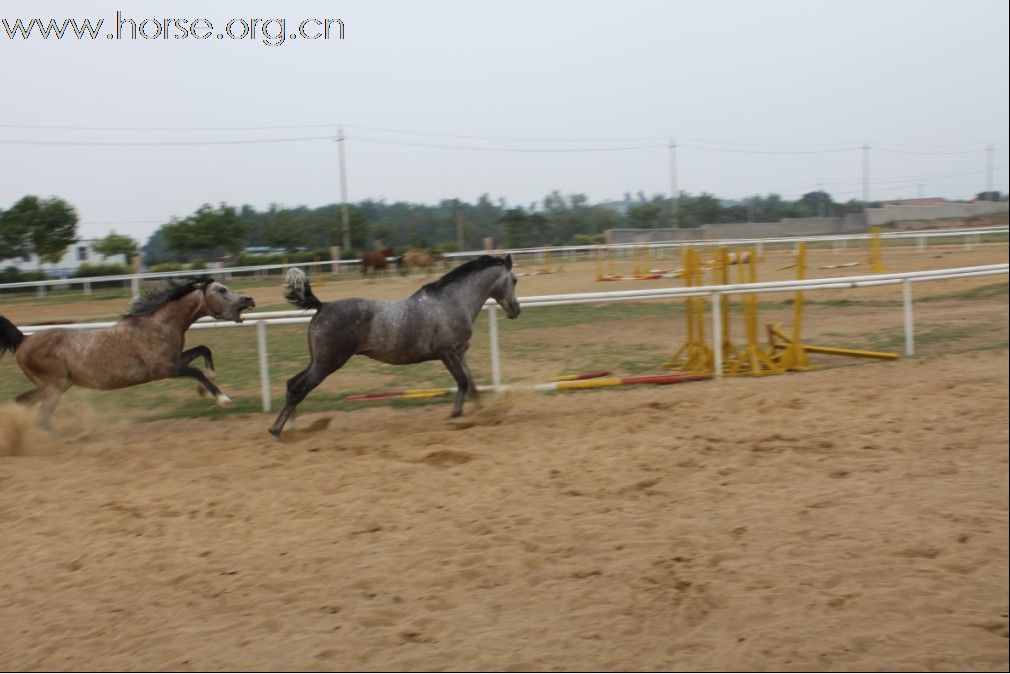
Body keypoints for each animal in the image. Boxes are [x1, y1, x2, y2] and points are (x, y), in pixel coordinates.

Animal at [0, 276, 256, 424]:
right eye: (222, 290)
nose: (249, 299)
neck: (159, 324)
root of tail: (24, 340)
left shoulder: (175, 359)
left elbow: (203, 350)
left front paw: (208, 382)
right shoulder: (163, 369)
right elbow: (196, 372)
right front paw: (222, 399)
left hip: (56, 386)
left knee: (24, 403)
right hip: (55, 386)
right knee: (40, 418)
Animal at [268, 252, 521, 438]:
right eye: (515, 280)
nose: (516, 310)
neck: (452, 303)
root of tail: (323, 306)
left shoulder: (460, 352)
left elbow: (472, 385)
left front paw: (481, 413)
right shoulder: (447, 352)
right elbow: (462, 381)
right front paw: (456, 414)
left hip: (318, 362)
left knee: (292, 384)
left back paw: (290, 426)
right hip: (327, 363)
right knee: (299, 389)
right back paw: (276, 430)